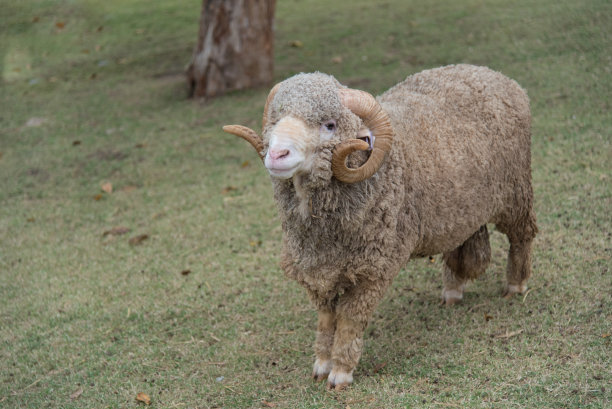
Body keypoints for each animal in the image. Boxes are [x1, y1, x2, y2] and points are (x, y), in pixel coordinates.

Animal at [224, 64, 536, 388]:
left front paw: (341, 372)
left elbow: (350, 318)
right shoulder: (320, 267)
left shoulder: (375, 267)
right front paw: (322, 363)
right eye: (276, 119)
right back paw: (452, 290)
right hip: (459, 205)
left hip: (516, 192)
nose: (276, 155)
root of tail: (492, 74)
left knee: (521, 237)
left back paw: (515, 284)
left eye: (329, 125)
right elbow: (326, 317)